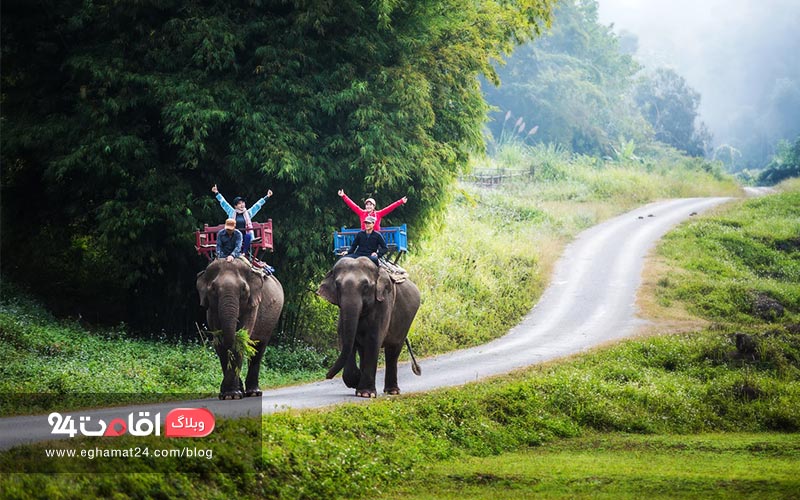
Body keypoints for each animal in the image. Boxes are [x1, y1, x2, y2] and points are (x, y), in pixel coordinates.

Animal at [197, 258, 284, 398]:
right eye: (213, 288)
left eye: (243, 289)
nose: (220, 392)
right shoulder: (210, 309)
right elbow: (220, 345)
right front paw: (230, 393)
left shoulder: (253, 304)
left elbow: (240, 341)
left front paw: (232, 394)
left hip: (272, 320)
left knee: (258, 350)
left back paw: (253, 392)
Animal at [318, 256, 422, 396]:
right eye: (337, 285)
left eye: (365, 286)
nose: (327, 375)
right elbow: (344, 338)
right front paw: (356, 382)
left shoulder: (383, 303)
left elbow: (373, 339)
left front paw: (365, 393)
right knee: (364, 351)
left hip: (406, 321)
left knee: (393, 351)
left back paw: (392, 391)